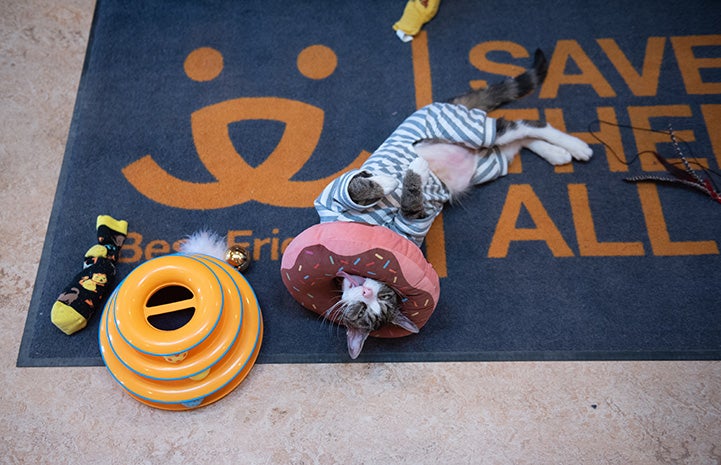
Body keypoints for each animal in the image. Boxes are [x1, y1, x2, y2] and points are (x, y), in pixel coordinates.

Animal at [314, 49, 592, 358]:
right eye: (364, 310)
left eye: (384, 295)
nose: (367, 292)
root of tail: (445, 103)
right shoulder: (406, 220)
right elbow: (396, 201)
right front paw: (403, 178)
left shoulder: (345, 198)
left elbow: (360, 187)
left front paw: (395, 178)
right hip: (490, 164)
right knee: (519, 141)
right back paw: (557, 153)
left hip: (469, 130)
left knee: (526, 125)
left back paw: (575, 145)